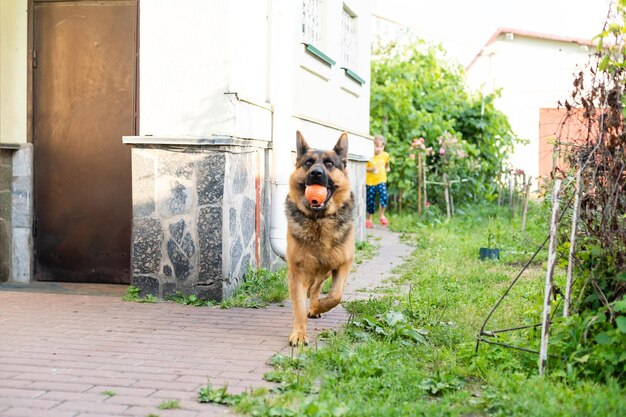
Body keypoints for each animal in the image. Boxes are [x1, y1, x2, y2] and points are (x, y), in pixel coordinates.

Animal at [286, 131, 354, 344]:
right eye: (308, 162)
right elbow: (299, 306)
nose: (316, 173)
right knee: (312, 287)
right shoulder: (298, 271)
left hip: (325, 270)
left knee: (316, 287)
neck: (319, 220)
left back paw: (315, 307)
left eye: (329, 164)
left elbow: (335, 296)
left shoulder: (343, 263)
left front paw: (318, 306)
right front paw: (299, 334)